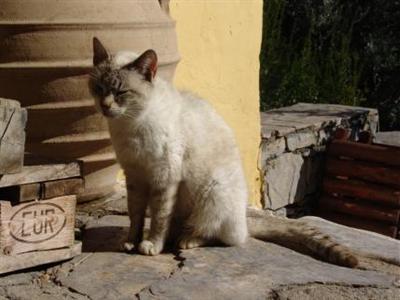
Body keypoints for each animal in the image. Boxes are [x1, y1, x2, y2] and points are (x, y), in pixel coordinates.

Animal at [89, 37, 358, 268]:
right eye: (98, 87)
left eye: (121, 92)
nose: (104, 106)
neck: (128, 125)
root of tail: (244, 218)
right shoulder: (135, 176)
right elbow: (135, 216)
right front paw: (130, 242)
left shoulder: (163, 178)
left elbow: (158, 217)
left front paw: (150, 246)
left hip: (213, 191)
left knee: (223, 236)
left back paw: (187, 240)